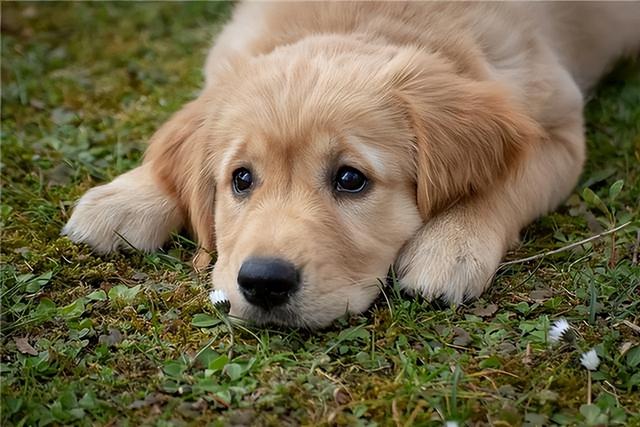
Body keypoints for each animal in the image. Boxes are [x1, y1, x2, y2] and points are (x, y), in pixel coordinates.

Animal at [63, 1, 640, 328]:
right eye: (240, 179)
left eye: (350, 179)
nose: (263, 283)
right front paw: (127, 197)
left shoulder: (559, 128)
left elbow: (506, 181)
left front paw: (451, 245)